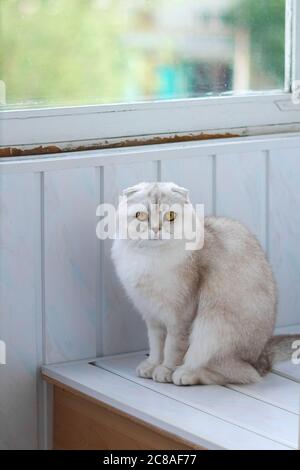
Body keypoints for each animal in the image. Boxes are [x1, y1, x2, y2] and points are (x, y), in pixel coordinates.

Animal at [112, 182, 300, 384]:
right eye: (141, 215)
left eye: (170, 216)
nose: (156, 229)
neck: (150, 260)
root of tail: (262, 356)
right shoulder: (152, 316)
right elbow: (156, 346)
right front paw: (152, 365)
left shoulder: (180, 317)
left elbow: (172, 348)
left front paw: (165, 370)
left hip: (212, 326)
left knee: (241, 374)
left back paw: (186, 374)